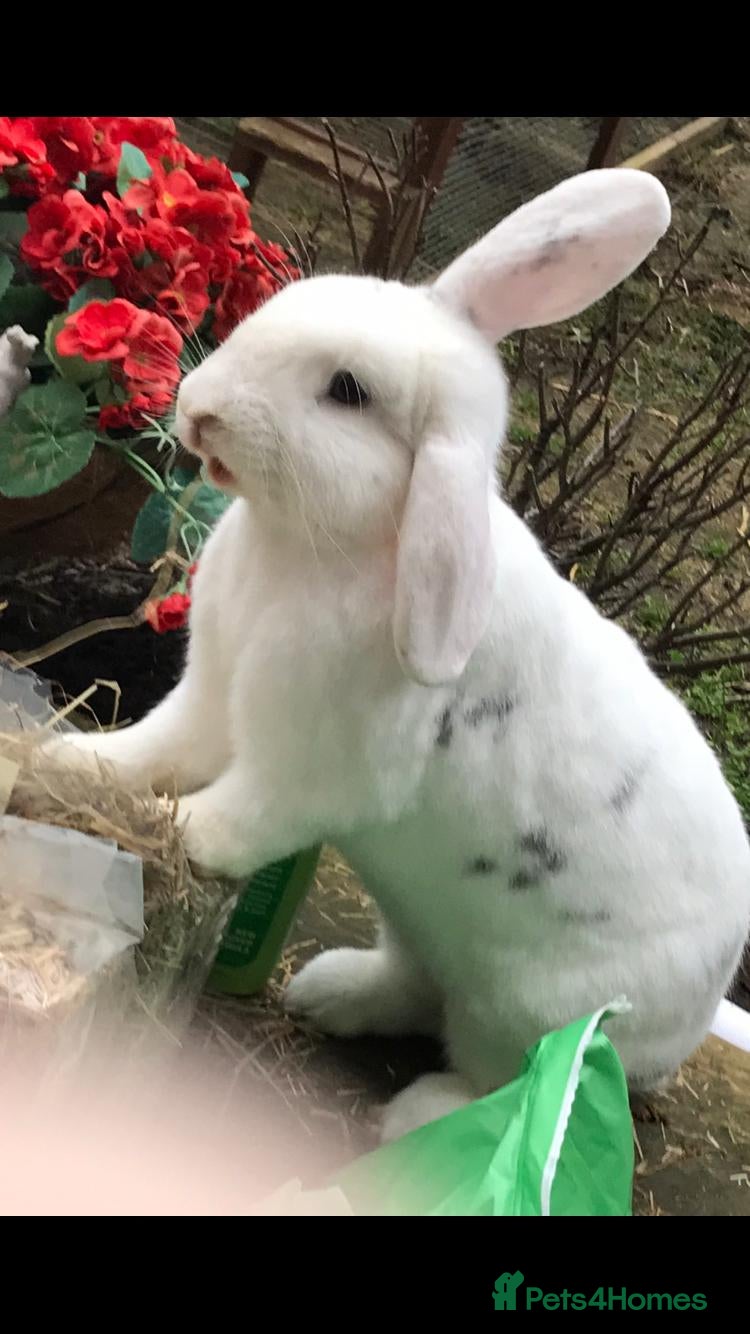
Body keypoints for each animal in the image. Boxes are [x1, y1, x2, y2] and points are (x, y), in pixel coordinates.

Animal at [48, 169, 750, 1143]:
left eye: (347, 391)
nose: (200, 410)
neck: (320, 545)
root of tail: (706, 1001)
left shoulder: (316, 769)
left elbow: (241, 814)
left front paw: (178, 833)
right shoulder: (210, 693)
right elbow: (154, 746)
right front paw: (72, 762)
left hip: (528, 1015)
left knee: (507, 1079)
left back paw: (417, 1116)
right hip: (418, 926)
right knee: (415, 989)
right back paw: (327, 993)